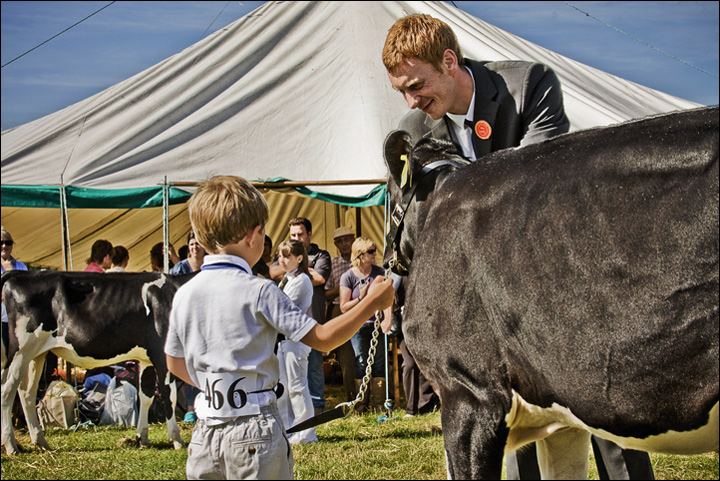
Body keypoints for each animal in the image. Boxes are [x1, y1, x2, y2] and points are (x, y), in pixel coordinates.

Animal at [1, 270, 197, 454]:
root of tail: (22, 273)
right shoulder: (162, 356)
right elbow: (168, 396)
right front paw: (177, 440)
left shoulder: (146, 358)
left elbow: (146, 396)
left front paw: (142, 438)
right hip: (21, 350)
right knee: (6, 391)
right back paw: (11, 446)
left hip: (37, 354)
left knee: (26, 393)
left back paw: (40, 442)